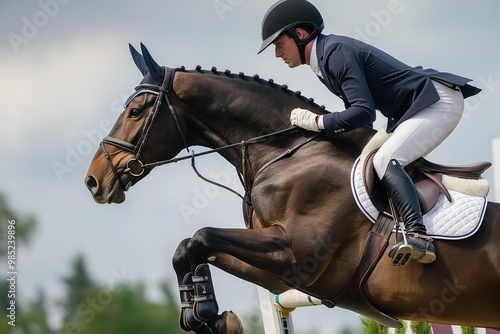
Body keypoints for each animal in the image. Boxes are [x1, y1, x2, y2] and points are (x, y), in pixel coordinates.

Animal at [86, 44, 500, 334]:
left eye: (135, 112)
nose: (93, 181)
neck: (284, 153)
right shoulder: (281, 277)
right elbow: (189, 247)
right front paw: (206, 314)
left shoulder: (297, 254)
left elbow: (201, 236)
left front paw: (205, 312)